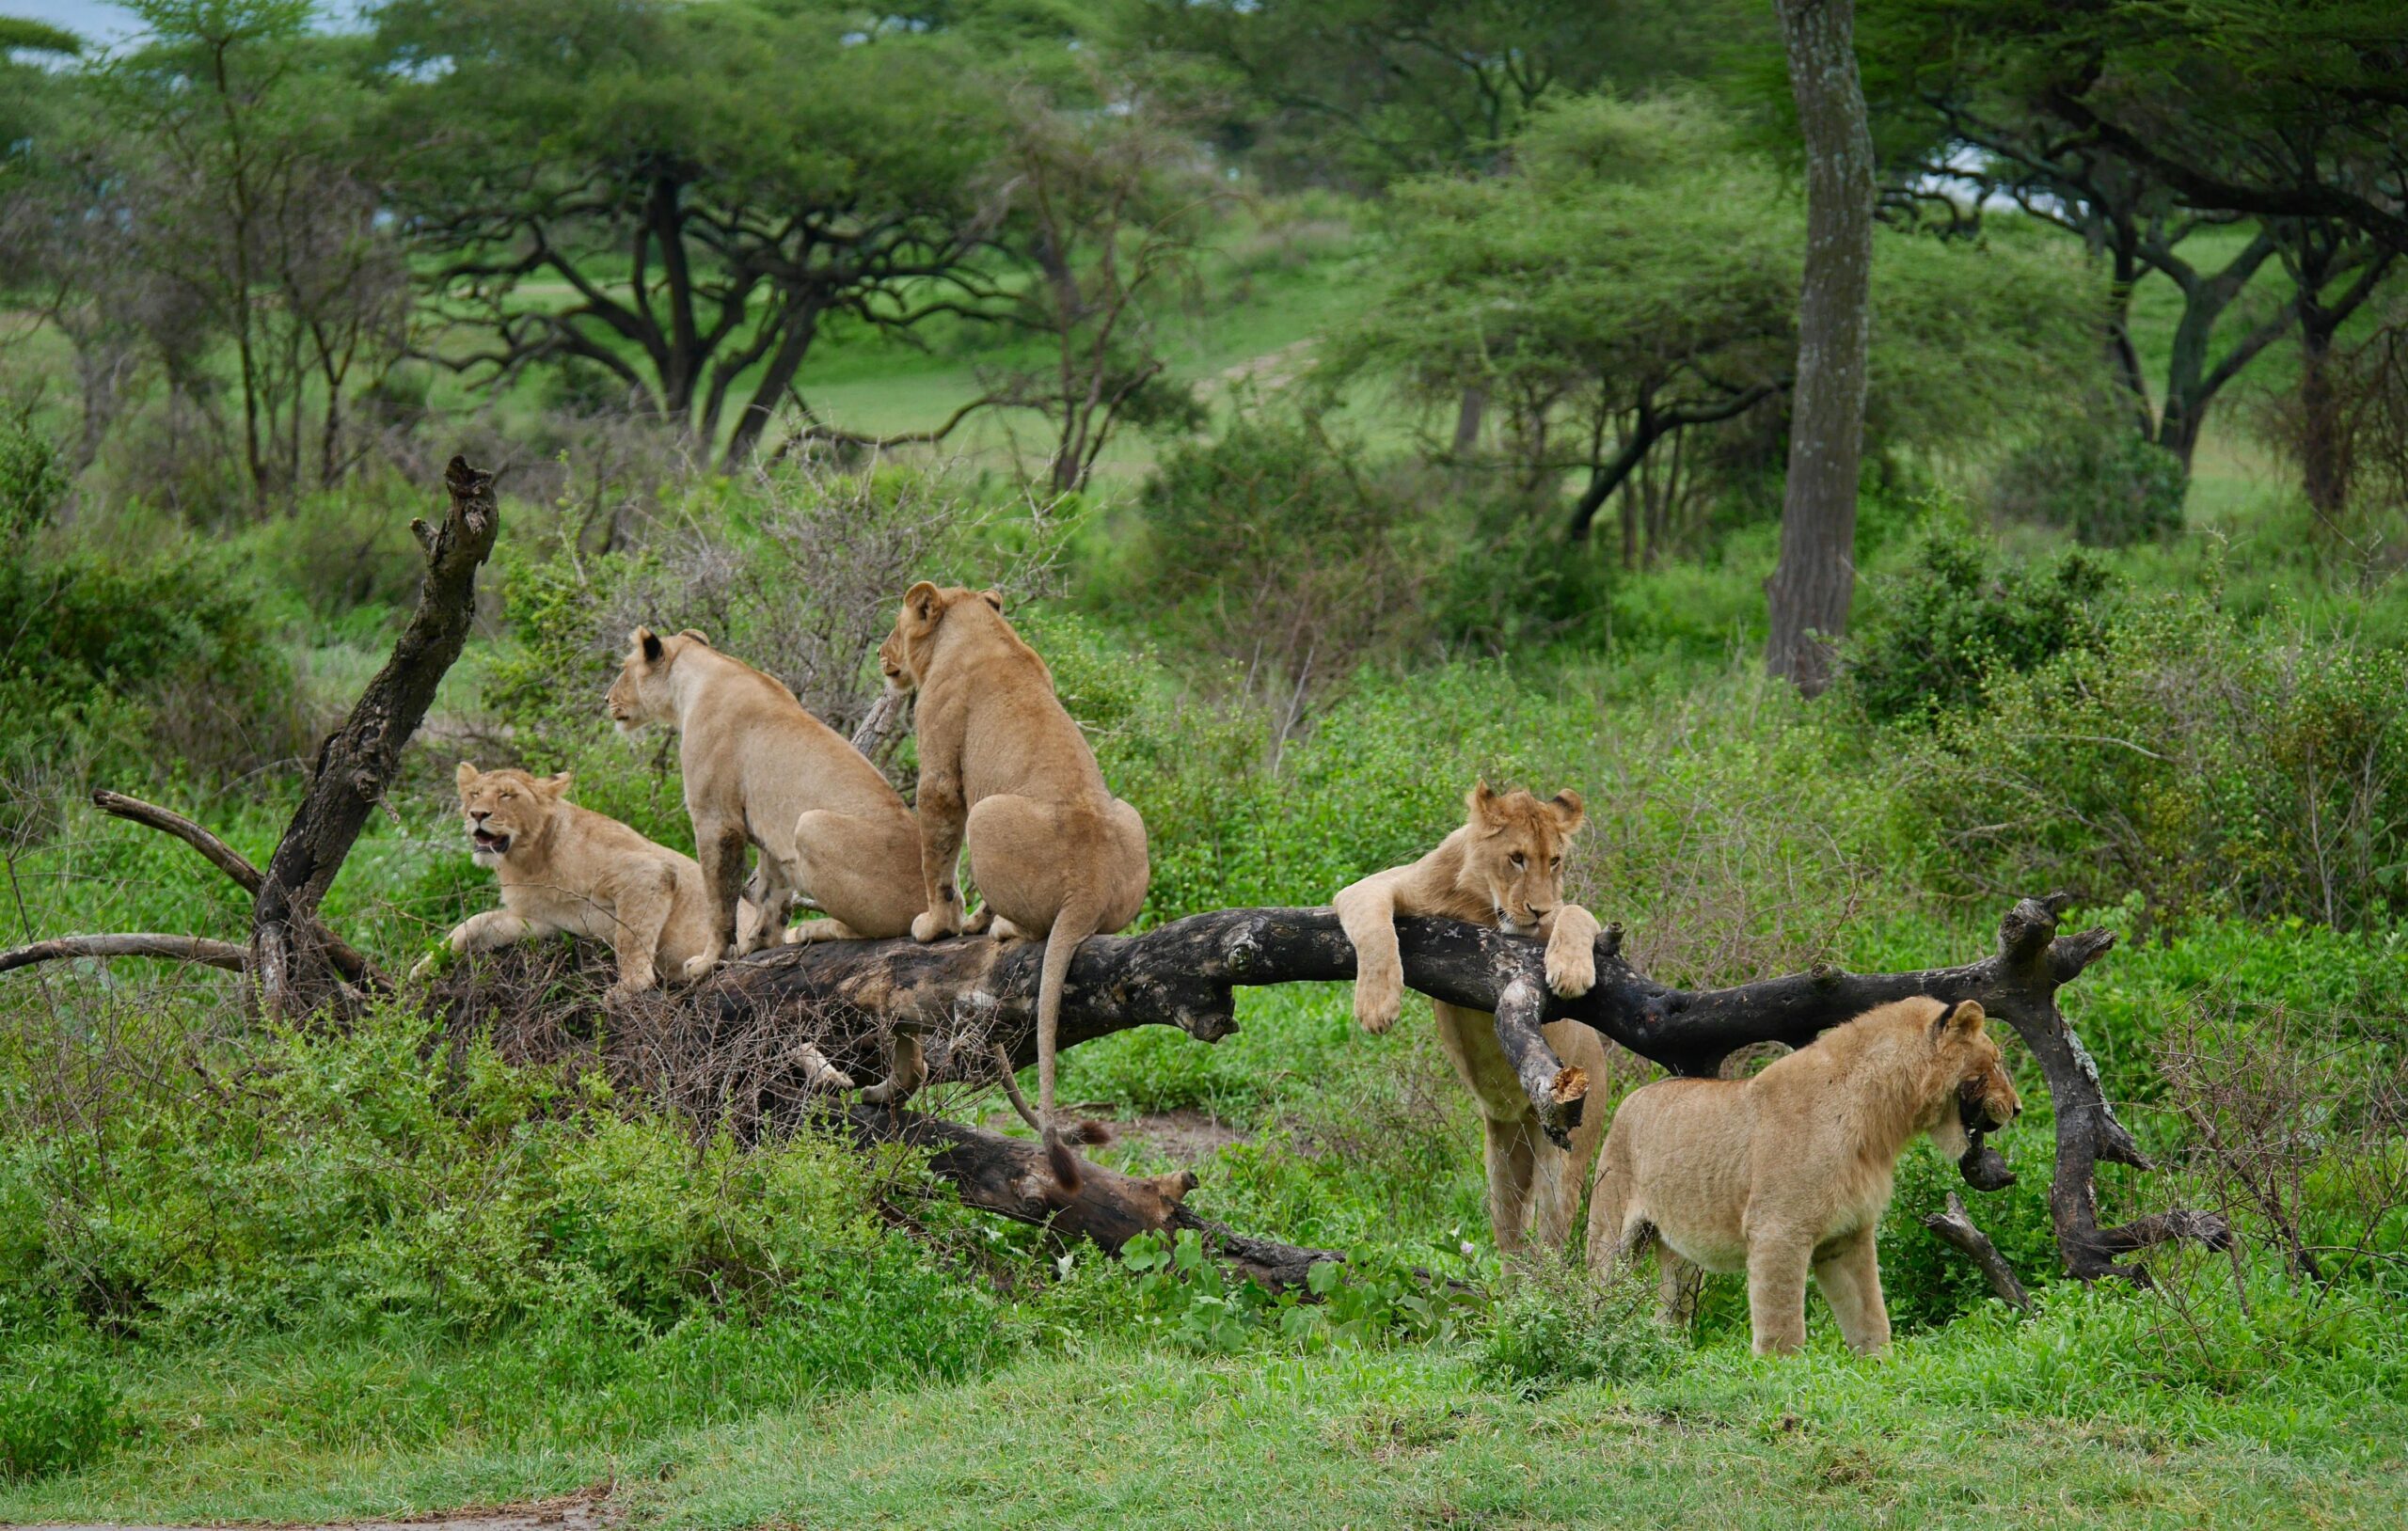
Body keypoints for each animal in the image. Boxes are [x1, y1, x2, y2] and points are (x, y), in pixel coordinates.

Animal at [605, 627, 924, 976]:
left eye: (624, 667)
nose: (607, 699)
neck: (693, 681)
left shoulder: (716, 820)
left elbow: (719, 901)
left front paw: (708, 961)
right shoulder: (768, 830)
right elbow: (770, 892)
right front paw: (758, 943)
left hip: (810, 825)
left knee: (879, 929)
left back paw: (814, 929)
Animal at [879, 583, 1148, 1162]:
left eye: (895, 626)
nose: (880, 655)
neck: (974, 628)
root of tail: (1088, 889)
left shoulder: (938, 770)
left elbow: (937, 856)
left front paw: (935, 925)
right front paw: (959, 921)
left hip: (986, 811)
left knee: (1028, 926)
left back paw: (997, 927)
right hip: (1131, 817)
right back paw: (987, 922)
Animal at [1332, 782, 1609, 1255]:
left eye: (1554, 860)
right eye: (1516, 858)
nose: (1538, 909)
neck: (1480, 905)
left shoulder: (1554, 917)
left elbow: (1576, 912)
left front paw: (1571, 970)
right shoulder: (1377, 886)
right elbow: (1373, 925)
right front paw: (1376, 1005)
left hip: (1567, 1153)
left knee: (1551, 1242)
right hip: (1502, 1162)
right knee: (1513, 1243)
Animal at [1587, 995, 2022, 1356]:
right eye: (1996, 1062)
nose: (2017, 1108)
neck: (1882, 1120)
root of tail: (1630, 1097)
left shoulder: (1848, 1233)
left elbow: (1868, 1311)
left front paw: (1880, 1366)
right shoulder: (1778, 1229)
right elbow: (1781, 1322)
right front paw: (1780, 1374)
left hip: (1679, 1258)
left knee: (1670, 1311)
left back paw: (1667, 1351)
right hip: (1610, 1233)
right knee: (1596, 1287)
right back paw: (1596, 1333)